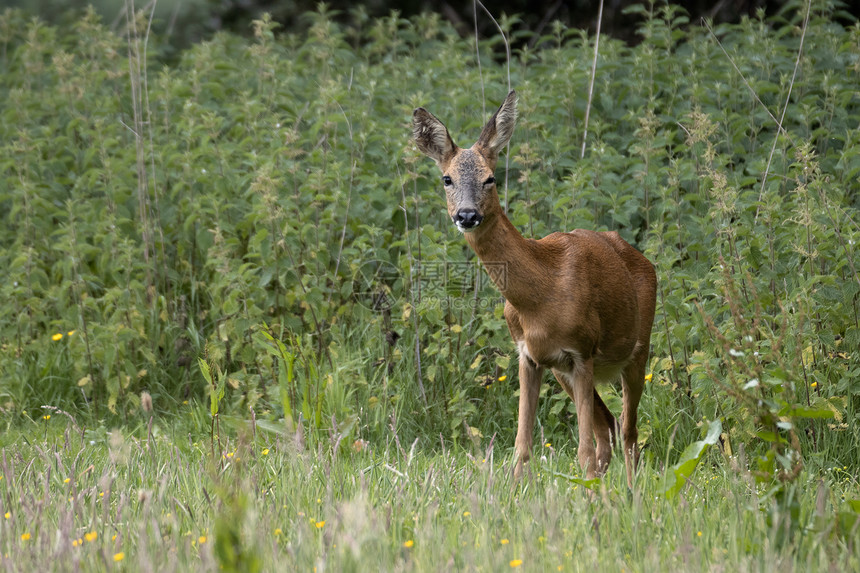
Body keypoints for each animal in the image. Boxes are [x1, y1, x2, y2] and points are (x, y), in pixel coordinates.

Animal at [414, 91, 656, 484]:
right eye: (447, 179)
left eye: (490, 178)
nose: (466, 215)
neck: (541, 297)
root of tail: (643, 259)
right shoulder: (528, 355)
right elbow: (521, 447)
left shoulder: (582, 350)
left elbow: (582, 451)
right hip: (563, 372)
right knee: (608, 425)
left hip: (637, 349)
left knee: (628, 431)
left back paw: (631, 491)